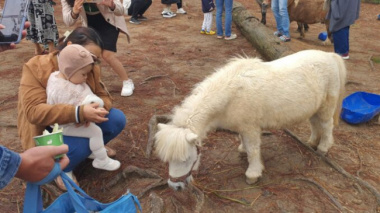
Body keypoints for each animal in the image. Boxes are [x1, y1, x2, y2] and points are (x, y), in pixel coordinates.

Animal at [154, 49, 348, 190]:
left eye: (187, 159)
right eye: (168, 159)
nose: (175, 187)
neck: (232, 93)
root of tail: (330, 55)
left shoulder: (251, 128)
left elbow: (253, 150)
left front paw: (252, 174)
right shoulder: (242, 127)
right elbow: (244, 143)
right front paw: (242, 150)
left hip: (326, 107)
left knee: (327, 126)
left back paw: (323, 148)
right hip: (314, 107)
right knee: (315, 124)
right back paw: (312, 142)